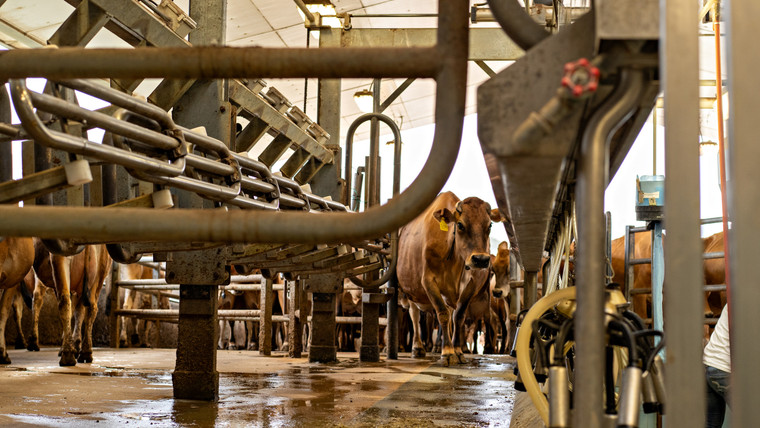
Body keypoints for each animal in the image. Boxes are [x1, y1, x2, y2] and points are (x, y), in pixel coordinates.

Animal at [394, 193, 502, 364]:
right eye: (460, 225)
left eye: (490, 225)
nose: (480, 259)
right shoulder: (428, 281)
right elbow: (443, 315)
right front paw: (447, 352)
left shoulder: (471, 285)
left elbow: (458, 317)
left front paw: (457, 350)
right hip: (410, 290)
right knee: (415, 315)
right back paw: (418, 347)